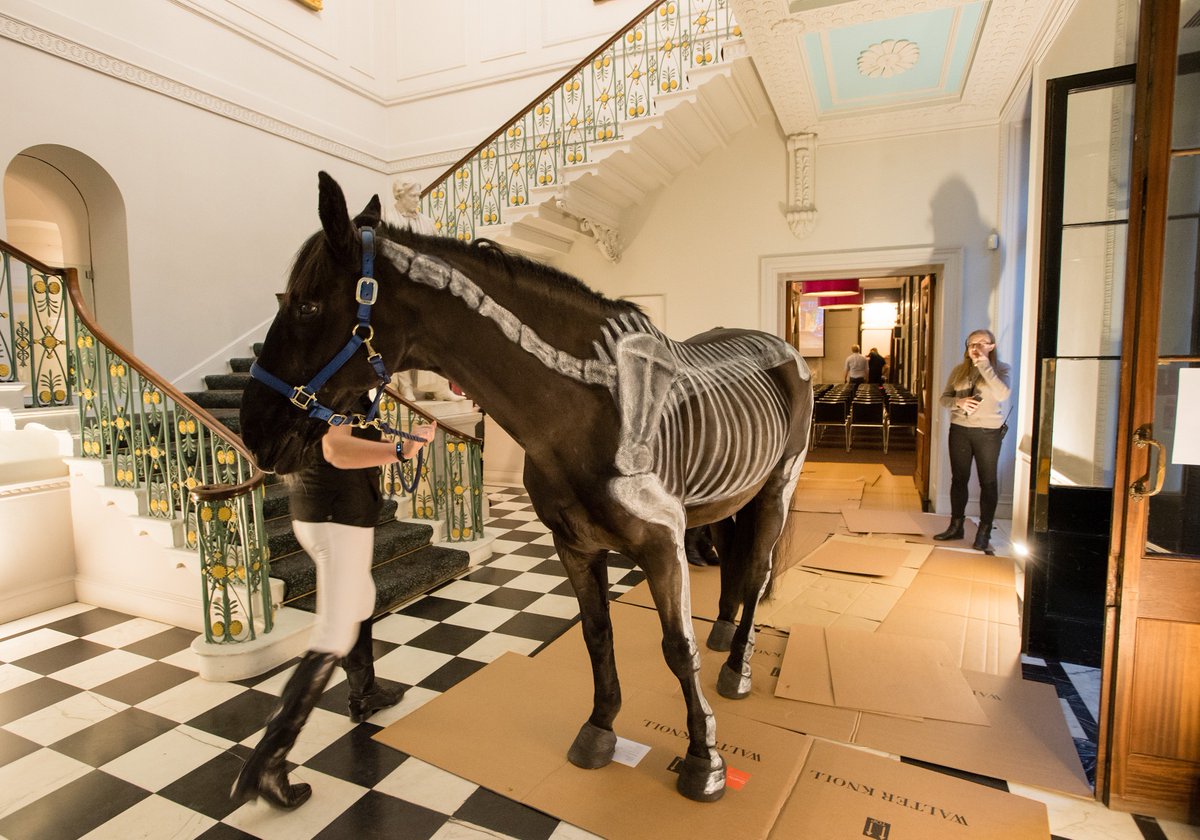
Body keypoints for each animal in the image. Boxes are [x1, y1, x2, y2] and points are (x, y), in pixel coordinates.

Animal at [237, 172, 811, 801]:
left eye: (308, 303)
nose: (254, 432)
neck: (590, 407)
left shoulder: (663, 544)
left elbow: (677, 648)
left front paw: (703, 760)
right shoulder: (575, 546)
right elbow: (597, 636)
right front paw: (599, 729)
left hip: (777, 488)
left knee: (756, 572)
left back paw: (737, 669)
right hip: (734, 497)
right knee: (735, 562)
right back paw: (726, 637)